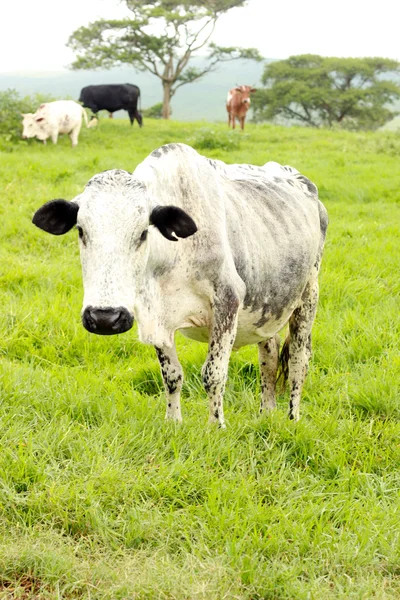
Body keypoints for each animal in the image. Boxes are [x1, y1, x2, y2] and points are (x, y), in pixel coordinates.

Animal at [32, 144, 328, 426]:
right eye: (81, 231)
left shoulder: (227, 301)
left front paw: (216, 426)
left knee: (298, 362)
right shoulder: (155, 315)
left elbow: (213, 374)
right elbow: (172, 375)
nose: (105, 318)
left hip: (308, 298)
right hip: (268, 310)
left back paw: (292, 419)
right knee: (269, 358)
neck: (175, 256)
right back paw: (266, 414)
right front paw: (173, 422)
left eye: (143, 233)